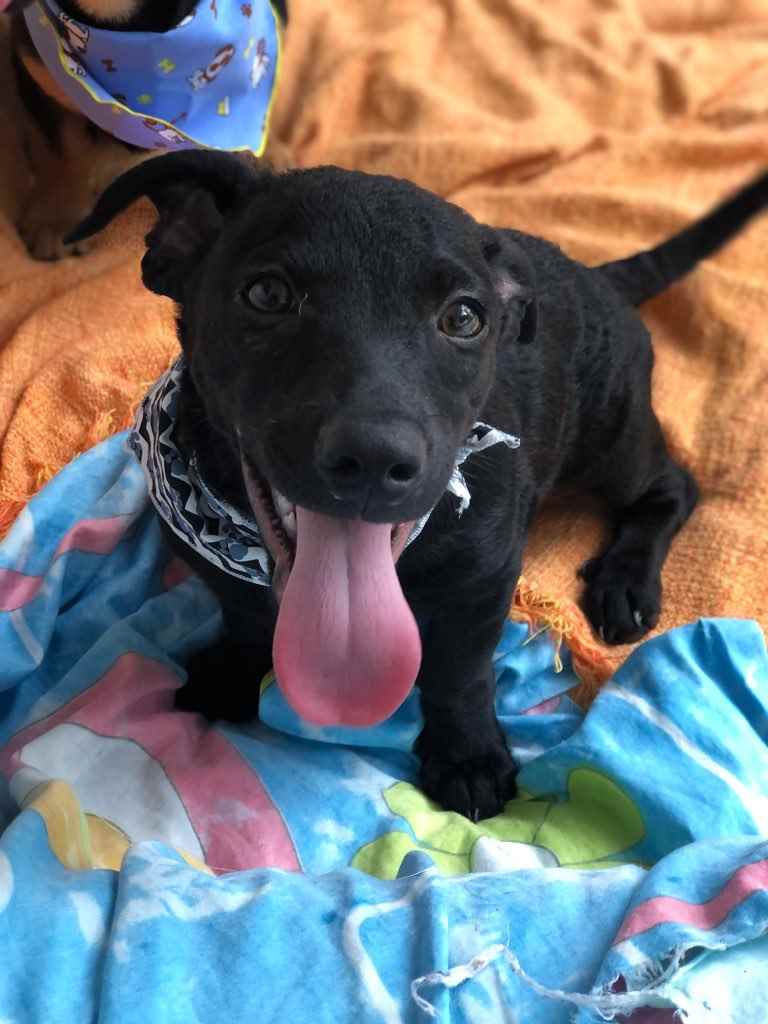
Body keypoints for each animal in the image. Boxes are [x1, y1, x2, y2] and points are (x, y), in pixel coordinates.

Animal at [66, 151, 768, 820]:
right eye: (266, 293)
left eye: (463, 317)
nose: (375, 459)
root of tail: (600, 277)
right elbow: (243, 614)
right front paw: (234, 671)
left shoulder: (485, 575)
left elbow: (461, 668)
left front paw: (468, 755)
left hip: (611, 442)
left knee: (675, 485)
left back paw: (626, 581)